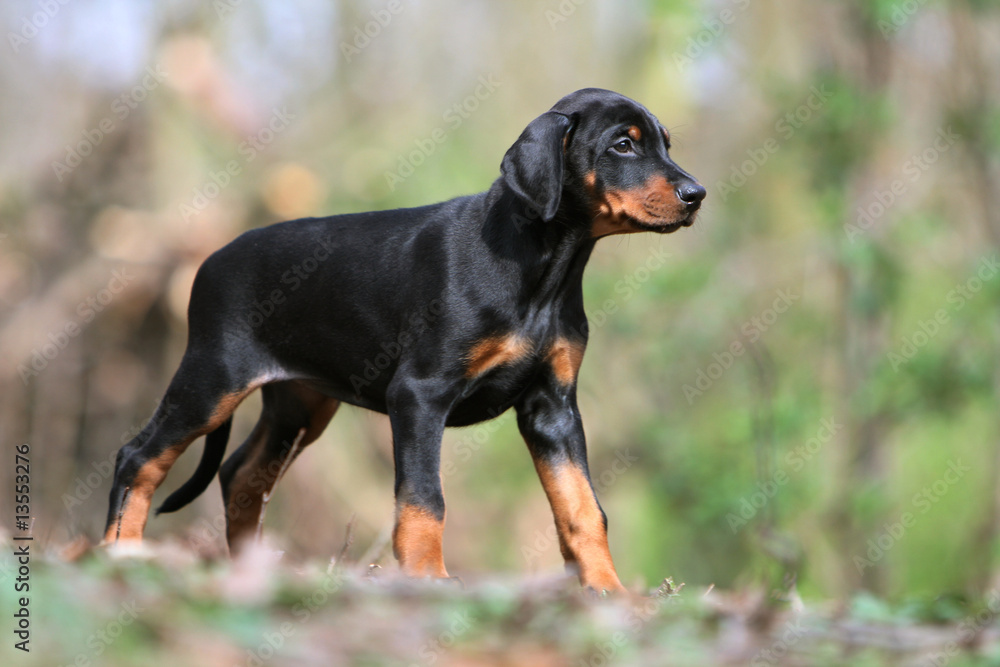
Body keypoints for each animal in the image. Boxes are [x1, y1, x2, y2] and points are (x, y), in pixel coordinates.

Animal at [103, 88, 704, 596]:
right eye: (623, 144)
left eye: (665, 144)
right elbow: (423, 499)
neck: (544, 267)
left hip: (300, 404)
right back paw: (118, 554)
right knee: (139, 456)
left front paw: (609, 591)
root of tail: (209, 260)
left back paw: (251, 572)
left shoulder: (552, 408)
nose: (696, 194)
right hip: (214, 381)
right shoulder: (419, 395)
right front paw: (427, 579)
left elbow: (581, 505)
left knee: (242, 475)